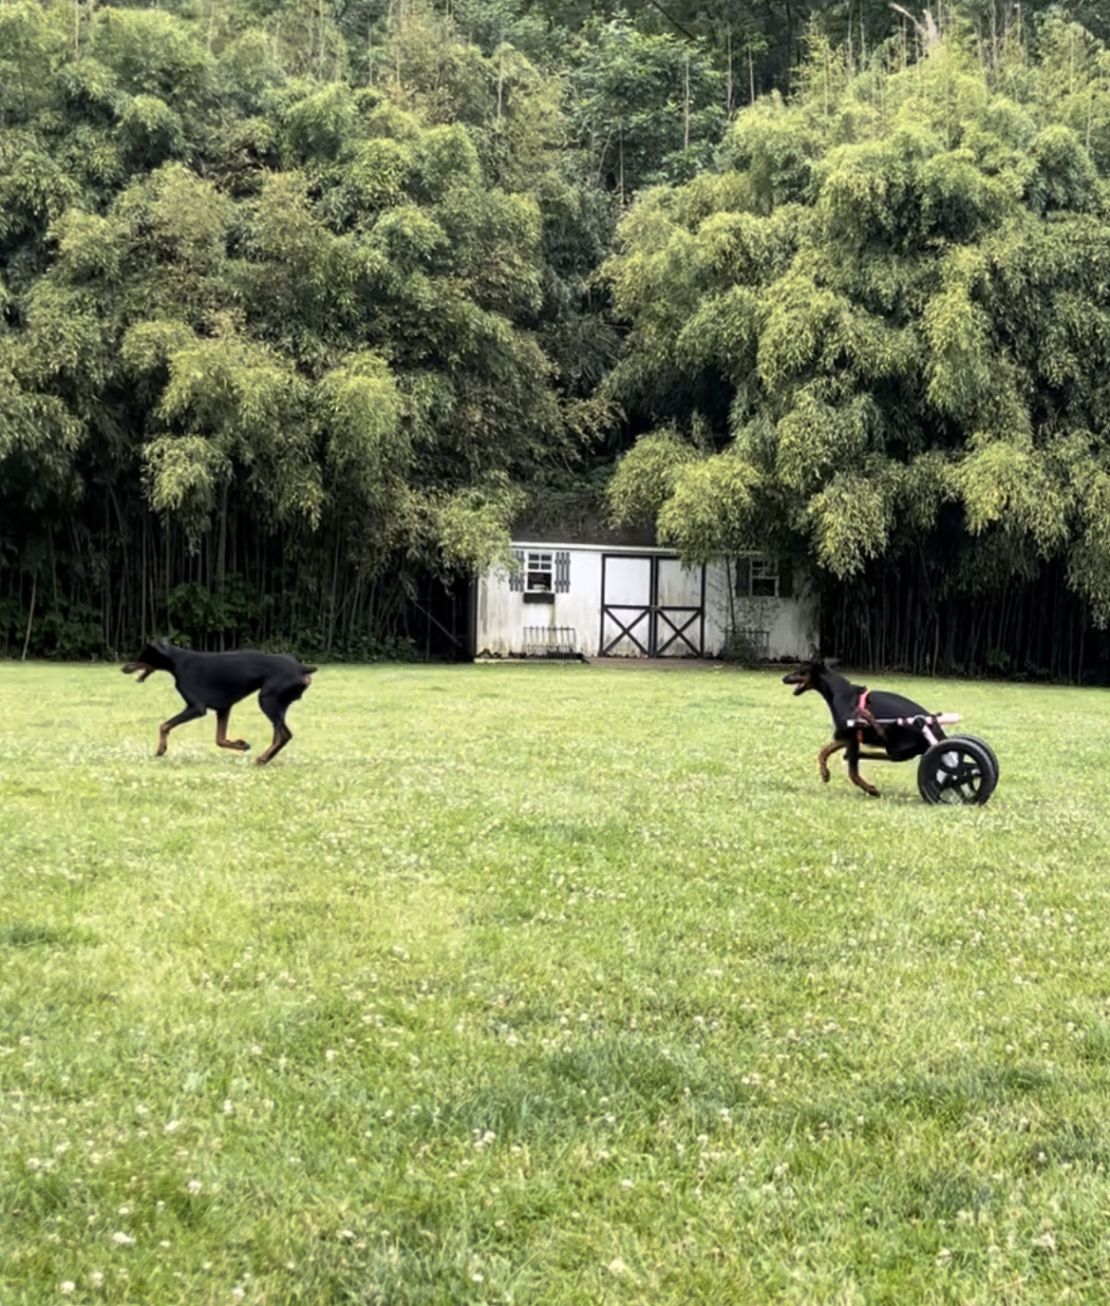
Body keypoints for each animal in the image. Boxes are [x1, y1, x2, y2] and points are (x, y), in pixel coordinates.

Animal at [778, 658, 992, 799]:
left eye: (800, 670)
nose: (783, 678)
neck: (840, 693)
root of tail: (934, 728)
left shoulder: (851, 738)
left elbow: (853, 773)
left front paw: (871, 789)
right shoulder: (845, 736)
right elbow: (823, 752)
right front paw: (825, 774)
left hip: (895, 739)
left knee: (886, 742)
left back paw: (867, 717)